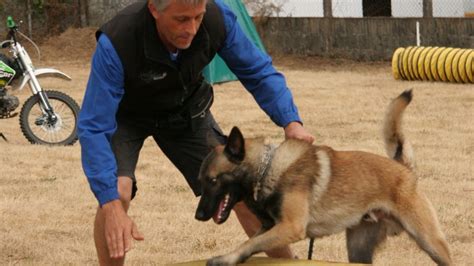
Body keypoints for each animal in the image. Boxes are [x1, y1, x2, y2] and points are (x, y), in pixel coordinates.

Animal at [195, 90, 452, 264]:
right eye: (201, 181)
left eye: (213, 181)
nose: (199, 216)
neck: (268, 168)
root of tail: (403, 168)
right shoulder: (271, 227)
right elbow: (250, 242)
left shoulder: (290, 227)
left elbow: (252, 242)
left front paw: (224, 259)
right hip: (358, 249)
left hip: (429, 240)